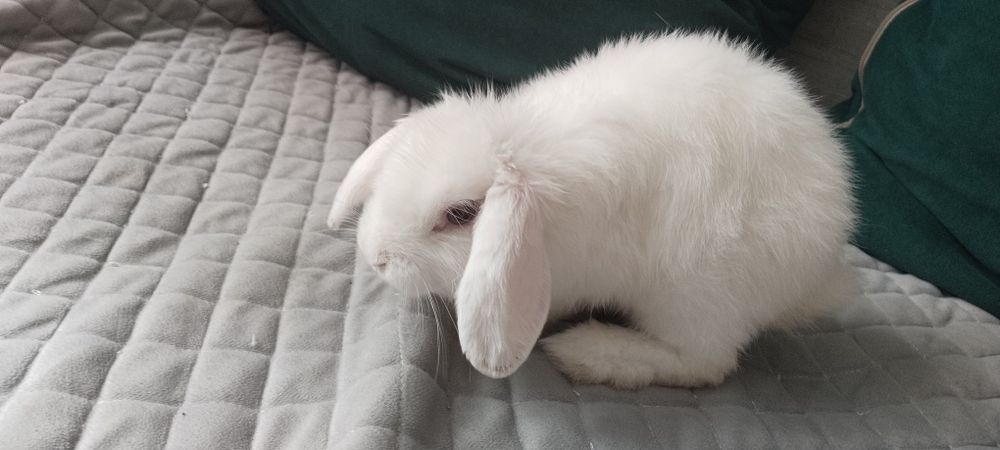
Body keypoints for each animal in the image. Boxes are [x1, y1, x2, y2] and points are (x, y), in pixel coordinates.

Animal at [327, 31, 856, 390]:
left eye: (460, 215)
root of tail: (820, 276)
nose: (376, 256)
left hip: (695, 294)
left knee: (702, 363)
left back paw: (587, 352)